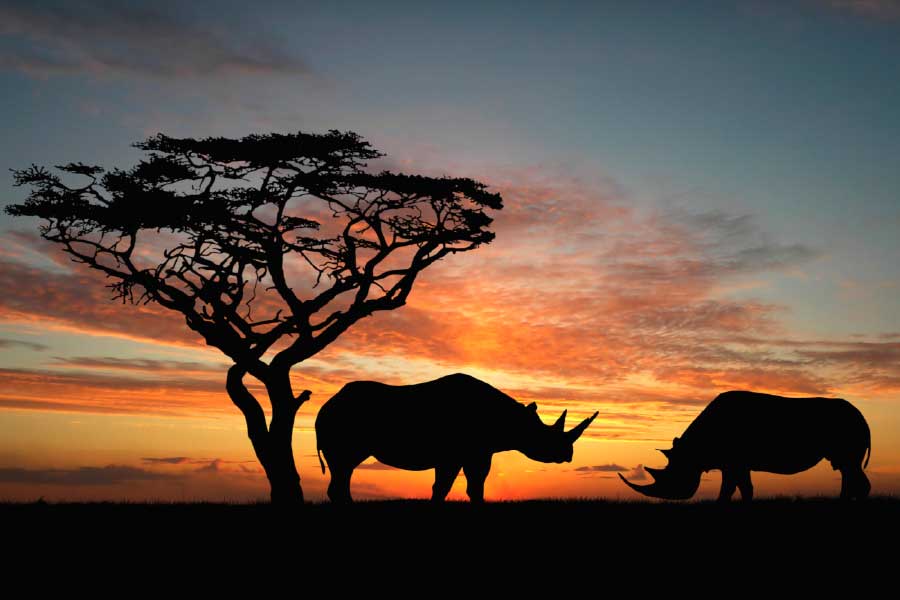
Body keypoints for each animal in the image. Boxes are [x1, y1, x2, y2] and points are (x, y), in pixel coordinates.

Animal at [315, 373, 598, 503]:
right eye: (546, 438)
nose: (567, 455)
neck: (513, 420)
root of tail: (325, 406)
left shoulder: (477, 452)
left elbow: (468, 486)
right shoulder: (455, 454)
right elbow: (449, 486)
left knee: (345, 469)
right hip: (339, 421)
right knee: (344, 465)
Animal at [619, 390, 872, 502]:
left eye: (674, 477)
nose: (671, 497)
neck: (693, 451)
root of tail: (863, 418)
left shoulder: (734, 462)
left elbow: (731, 488)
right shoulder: (735, 463)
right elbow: (742, 488)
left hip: (849, 429)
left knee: (849, 466)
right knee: (846, 468)